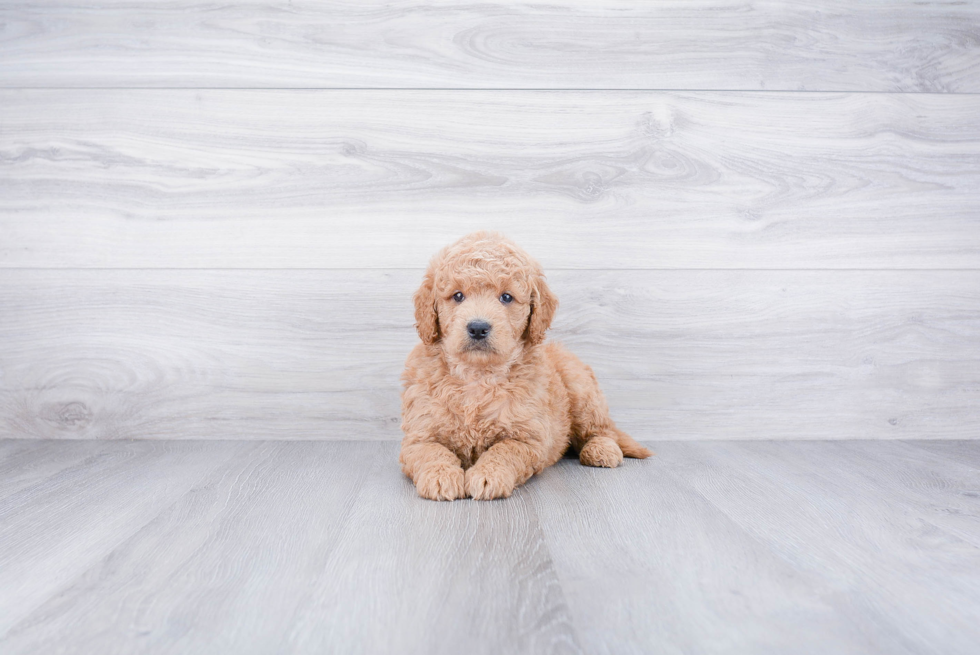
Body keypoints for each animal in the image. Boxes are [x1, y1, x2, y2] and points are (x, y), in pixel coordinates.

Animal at [398, 232, 652, 502]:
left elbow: (505, 450)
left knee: (602, 429)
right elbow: (431, 451)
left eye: (506, 297)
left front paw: (489, 475)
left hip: (581, 389)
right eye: (457, 296)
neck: (478, 375)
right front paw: (440, 476)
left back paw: (601, 450)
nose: (478, 328)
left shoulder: (528, 439)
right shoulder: (418, 435)